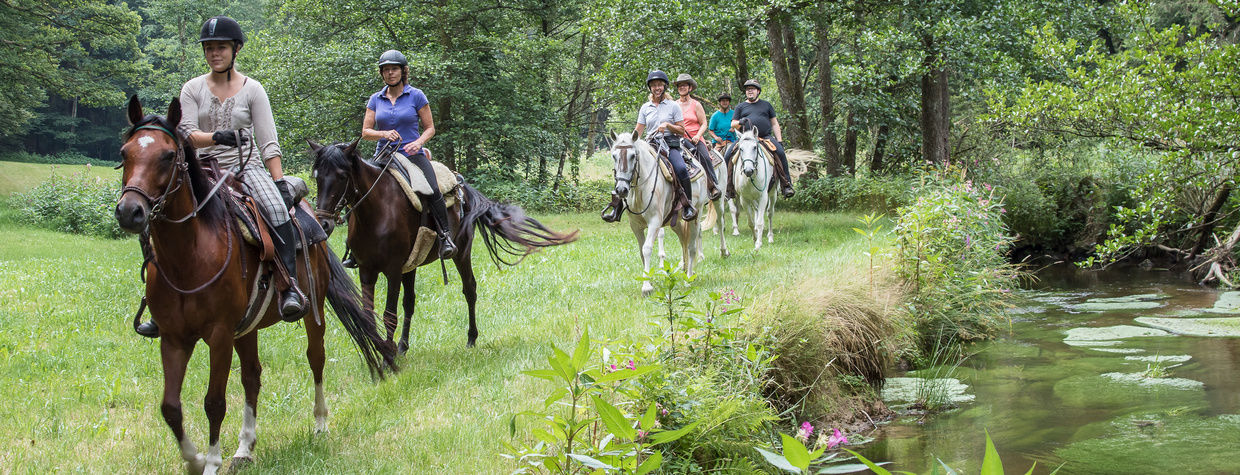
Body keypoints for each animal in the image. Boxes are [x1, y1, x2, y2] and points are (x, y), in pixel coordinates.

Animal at [115, 94, 396, 473]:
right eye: (125, 152)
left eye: (168, 156)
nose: (130, 211)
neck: (188, 256)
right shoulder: (174, 338)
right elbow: (171, 407)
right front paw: (195, 459)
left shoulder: (219, 335)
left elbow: (214, 402)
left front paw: (211, 462)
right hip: (245, 329)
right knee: (252, 376)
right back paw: (245, 447)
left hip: (312, 312)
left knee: (316, 359)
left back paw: (320, 423)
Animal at [310, 139, 580, 352]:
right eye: (317, 177)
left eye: (342, 176)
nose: (322, 223)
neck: (375, 212)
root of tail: (463, 187)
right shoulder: (368, 271)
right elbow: (369, 315)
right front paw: (384, 353)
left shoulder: (393, 270)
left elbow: (389, 315)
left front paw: (387, 357)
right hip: (412, 265)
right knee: (410, 302)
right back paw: (403, 347)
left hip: (461, 253)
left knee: (469, 289)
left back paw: (471, 338)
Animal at [605, 132, 724, 297]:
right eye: (614, 156)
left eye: (633, 156)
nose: (621, 189)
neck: (640, 189)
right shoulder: (635, 226)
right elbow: (641, 251)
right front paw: (647, 280)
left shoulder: (655, 222)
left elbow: (647, 248)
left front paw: (647, 287)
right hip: (675, 221)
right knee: (683, 239)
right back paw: (684, 269)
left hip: (698, 213)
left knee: (692, 245)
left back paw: (689, 277)